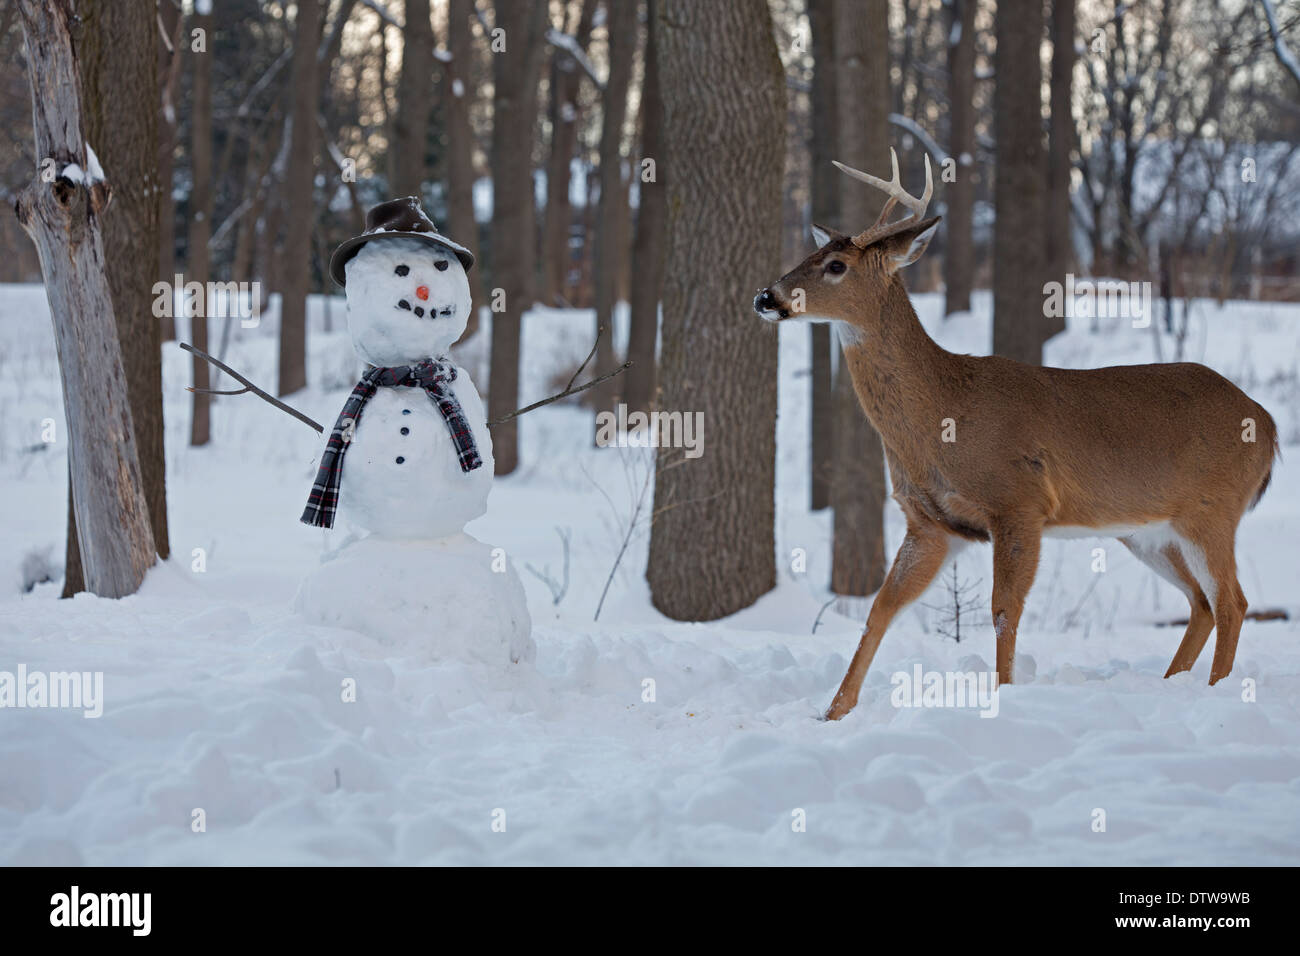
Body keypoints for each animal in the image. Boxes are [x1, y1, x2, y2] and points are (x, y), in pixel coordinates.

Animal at [754, 147, 1279, 717]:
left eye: (836, 265)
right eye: (814, 253)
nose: (766, 297)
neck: (943, 416)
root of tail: (1268, 422)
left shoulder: (1019, 501)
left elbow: (1004, 611)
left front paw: (1001, 697)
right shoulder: (931, 523)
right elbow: (880, 609)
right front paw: (833, 713)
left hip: (1213, 510)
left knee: (1232, 602)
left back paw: (1216, 693)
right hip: (1147, 531)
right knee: (1201, 603)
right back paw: (1172, 683)